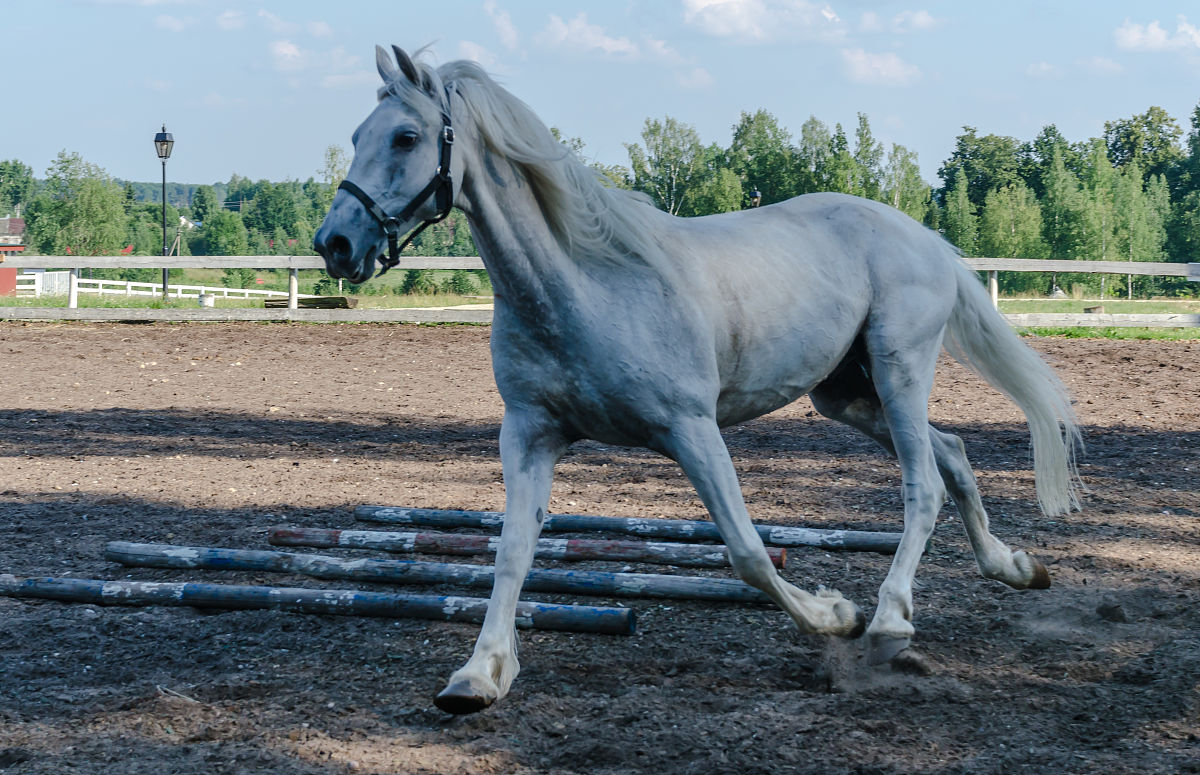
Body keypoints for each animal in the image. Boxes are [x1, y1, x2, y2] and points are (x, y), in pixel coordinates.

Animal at [313, 46, 1081, 715]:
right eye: (354, 134)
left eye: (407, 136)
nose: (335, 244)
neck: (583, 285)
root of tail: (926, 239)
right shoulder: (529, 435)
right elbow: (511, 553)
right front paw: (477, 676)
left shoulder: (691, 428)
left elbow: (746, 551)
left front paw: (835, 614)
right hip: (845, 394)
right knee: (952, 454)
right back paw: (1014, 567)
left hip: (900, 368)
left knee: (923, 485)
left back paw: (890, 619)